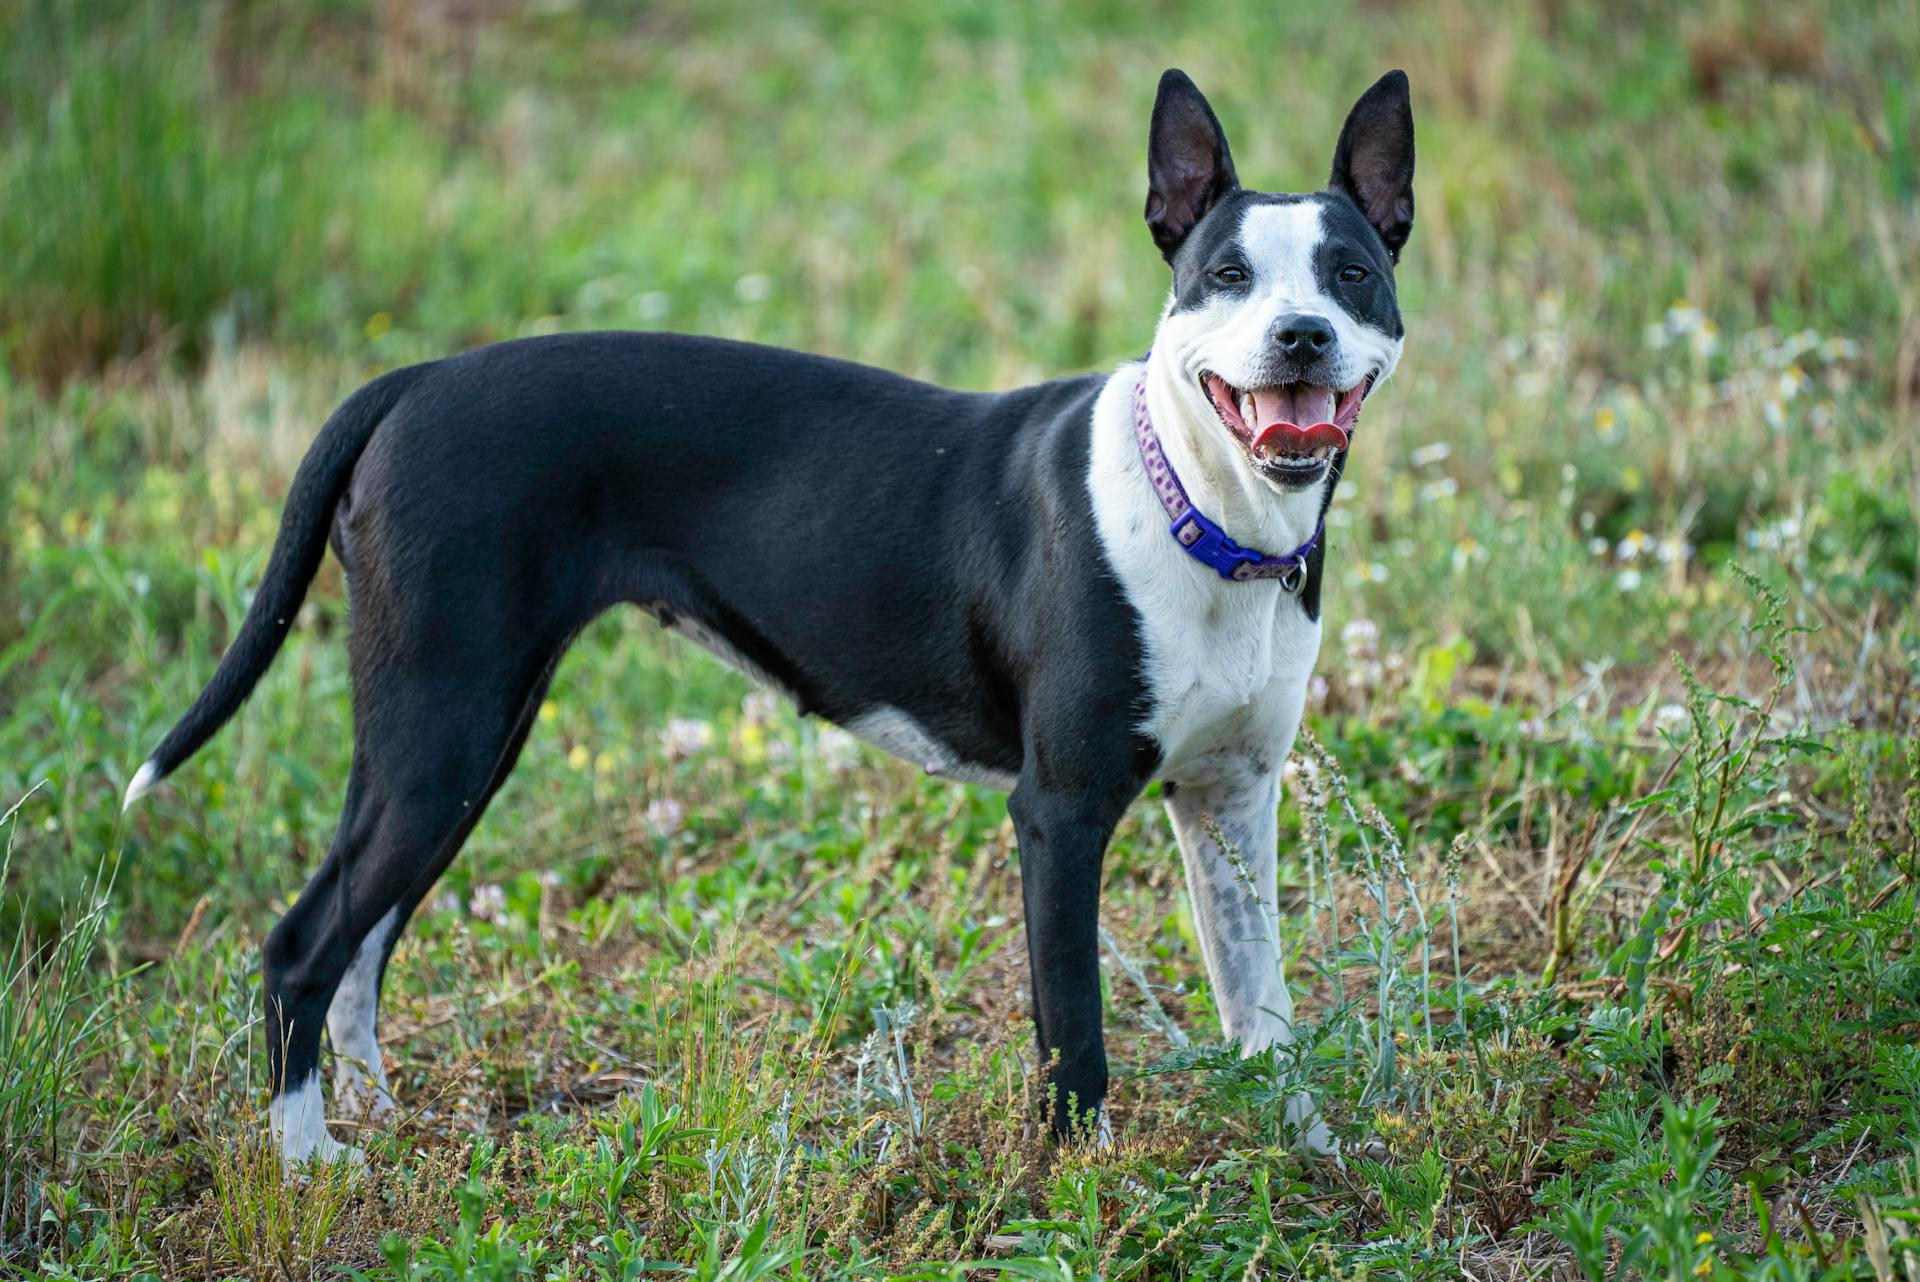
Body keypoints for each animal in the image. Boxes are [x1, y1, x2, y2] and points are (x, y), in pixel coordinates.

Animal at [123, 72, 1413, 1174]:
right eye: (1227, 275)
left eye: (1351, 275)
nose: (1300, 334)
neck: (1210, 514)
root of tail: (414, 381)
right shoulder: (1060, 814)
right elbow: (1075, 1034)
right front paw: (1085, 1191)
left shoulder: (1231, 800)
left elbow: (1266, 1008)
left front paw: (1313, 1154)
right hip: (443, 732)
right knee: (304, 945)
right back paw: (308, 1161)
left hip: (455, 745)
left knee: (363, 935)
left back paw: (375, 1115)